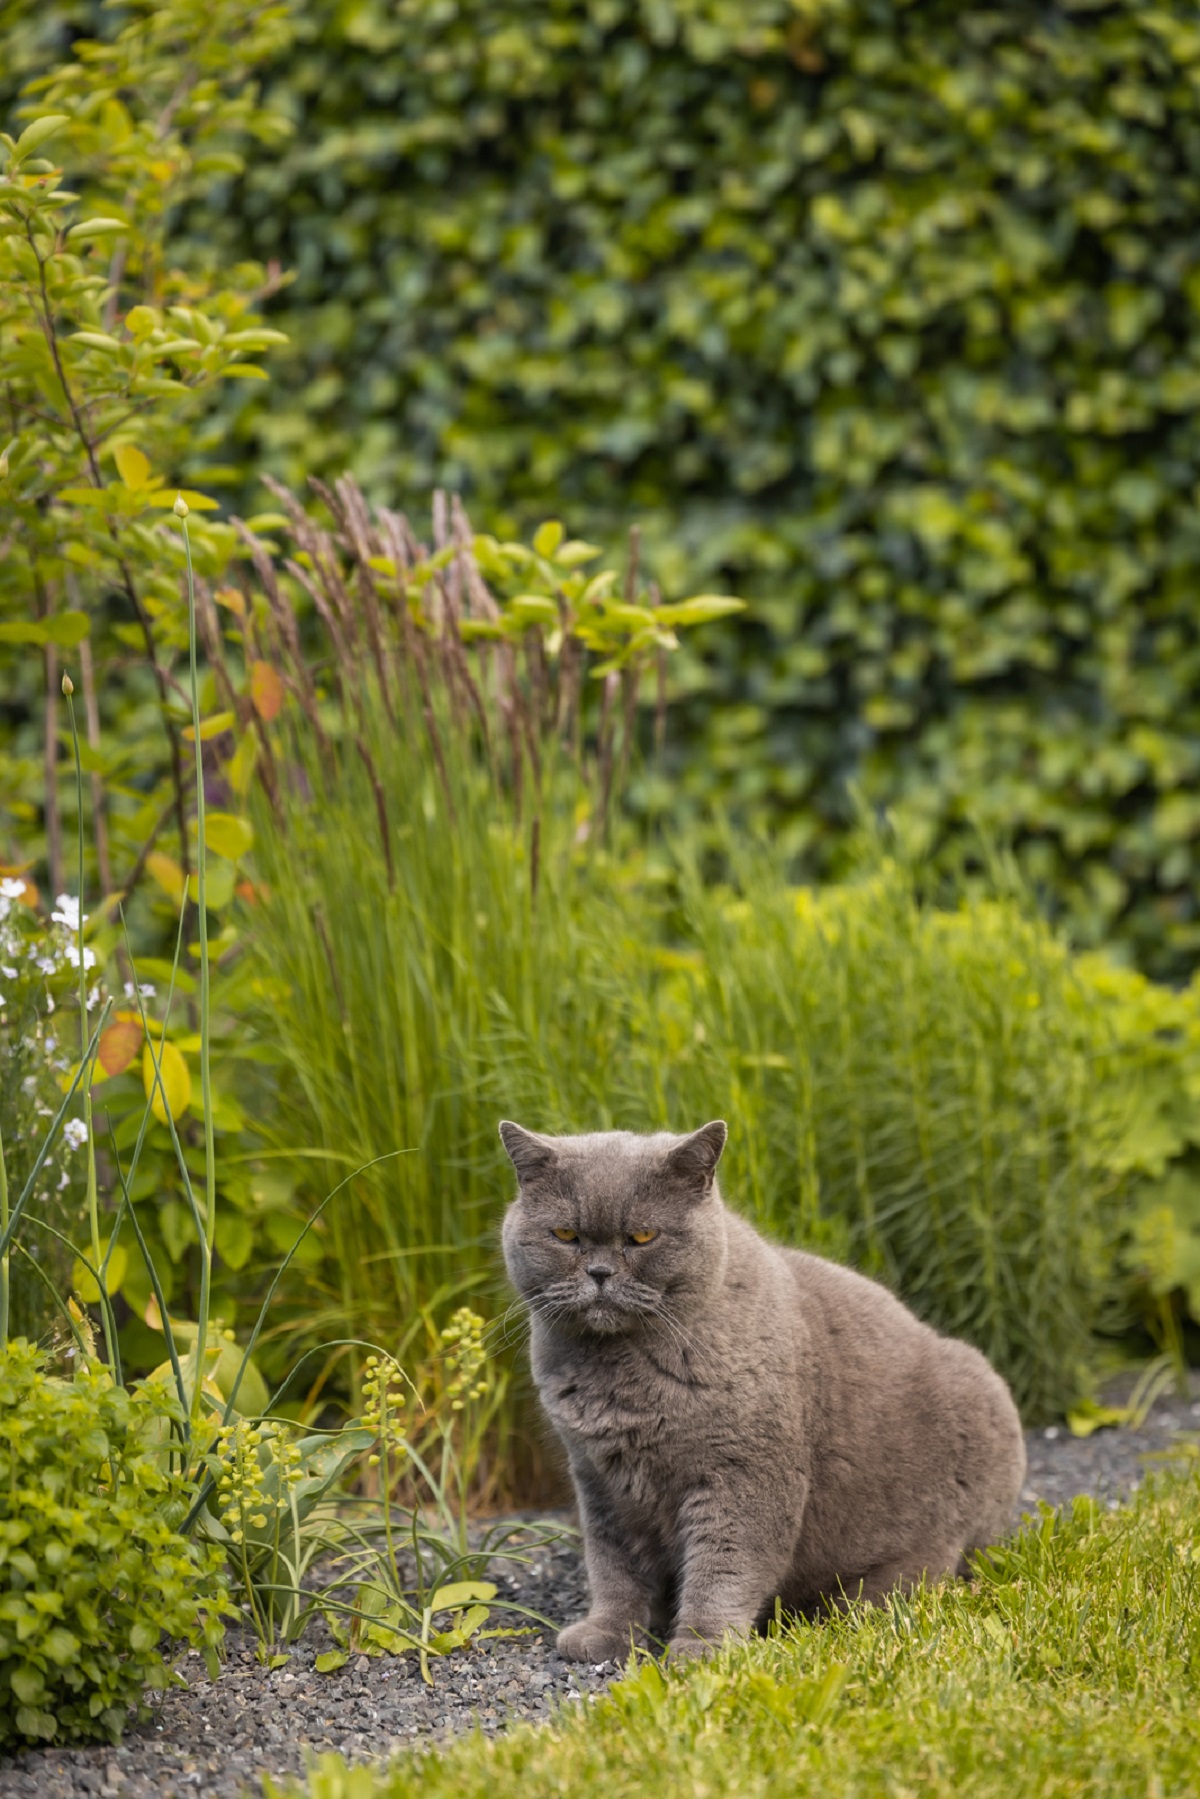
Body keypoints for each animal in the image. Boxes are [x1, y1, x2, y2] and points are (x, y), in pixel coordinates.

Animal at [496, 1115, 1021, 1662]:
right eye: (565, 1235)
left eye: (642, 1236)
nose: (599, 1273)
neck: (619, 1373)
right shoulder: (600, 1480)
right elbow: (614, 1567)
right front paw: (608, 1635)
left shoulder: (744, 1473)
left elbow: (724, 1566)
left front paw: (703, 1648)